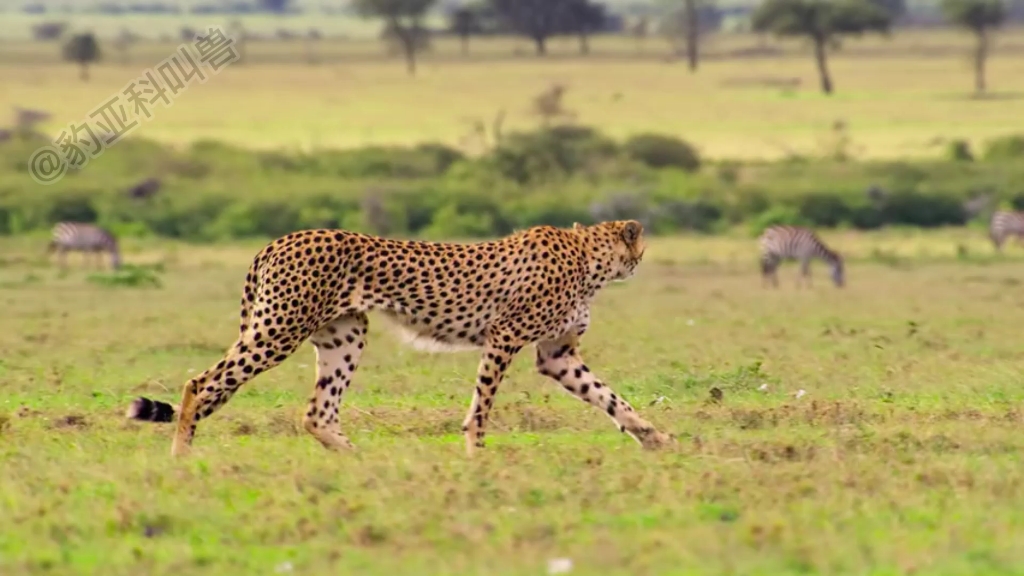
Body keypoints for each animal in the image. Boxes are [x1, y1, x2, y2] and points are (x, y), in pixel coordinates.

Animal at [123, 217, 671, 455]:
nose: (643, 263)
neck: (588, 257)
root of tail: (279, 240)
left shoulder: (556, 354)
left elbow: (609, 397)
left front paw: (653, 436)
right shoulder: (505, 335)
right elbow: (483, 404)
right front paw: (476, 455)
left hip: (344, 334)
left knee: (318, 413)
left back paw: (360, 462)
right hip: (278, 329)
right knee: (201, 382)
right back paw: (182, 457)